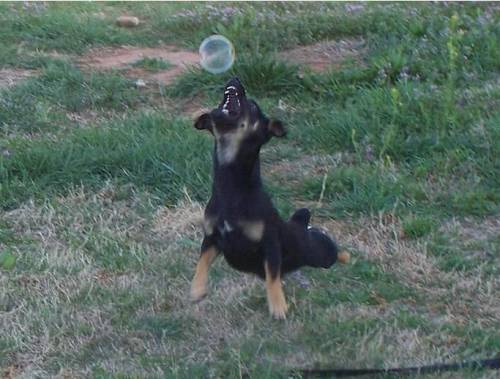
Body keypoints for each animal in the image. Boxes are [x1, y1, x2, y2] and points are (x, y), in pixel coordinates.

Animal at [189, 77, 350, 320]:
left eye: (254, 106)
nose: (235, 79)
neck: (231, 187)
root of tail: (299, 224)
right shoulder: (212, 239)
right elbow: (202, 261)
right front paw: (197, 289)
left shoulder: (270, 244)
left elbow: (273, 276)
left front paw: (278, 306)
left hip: (318, 251)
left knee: (332, 251)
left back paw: (345, 256)